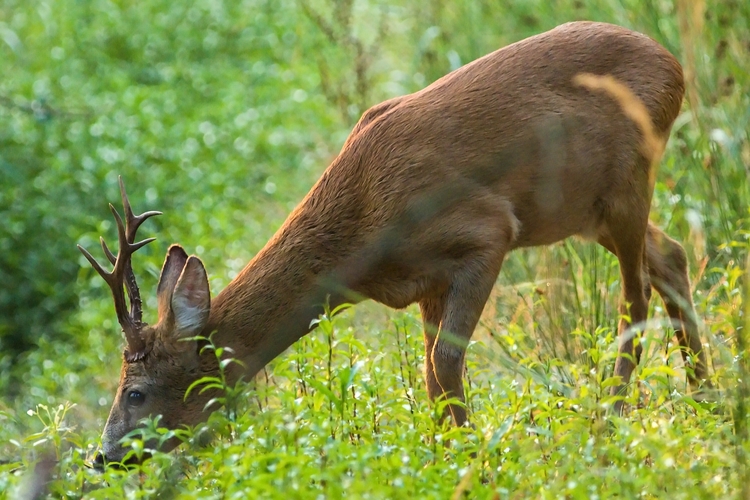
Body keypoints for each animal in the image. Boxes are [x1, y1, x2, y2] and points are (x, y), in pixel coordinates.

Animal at [81, 21, 712, 468]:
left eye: (135, 392)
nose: (101, 456)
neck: (361, 241)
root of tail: (673, 63)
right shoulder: (427, 280)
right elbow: (433, 381)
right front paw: (449, 458)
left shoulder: (486, 232)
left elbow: (446, 362)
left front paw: (476, 463)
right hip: (588, 210)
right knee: (671, 257)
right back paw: (706, 397)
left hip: (628, 177)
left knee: (635, 296)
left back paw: (613, 419)